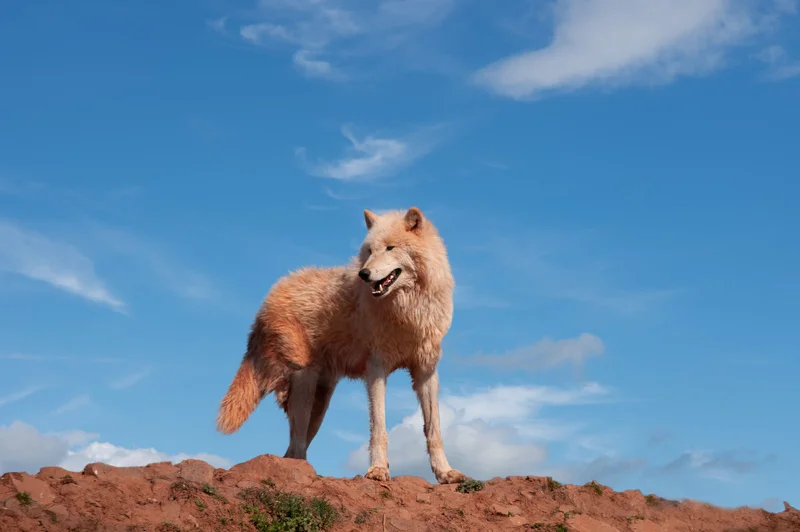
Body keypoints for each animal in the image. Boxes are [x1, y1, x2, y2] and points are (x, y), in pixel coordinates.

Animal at [215, 206, 467, 484]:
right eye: (369, 251)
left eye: (390, 248)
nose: (364, 274)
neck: (408, 310)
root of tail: (269, 298)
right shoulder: (376, 369)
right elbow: (379, 427)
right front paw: (378, 469)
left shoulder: (426, 372)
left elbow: (434, 430)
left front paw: (445, 472)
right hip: (305, 387)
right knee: (296, 445)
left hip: (321, 400)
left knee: (291, 447)